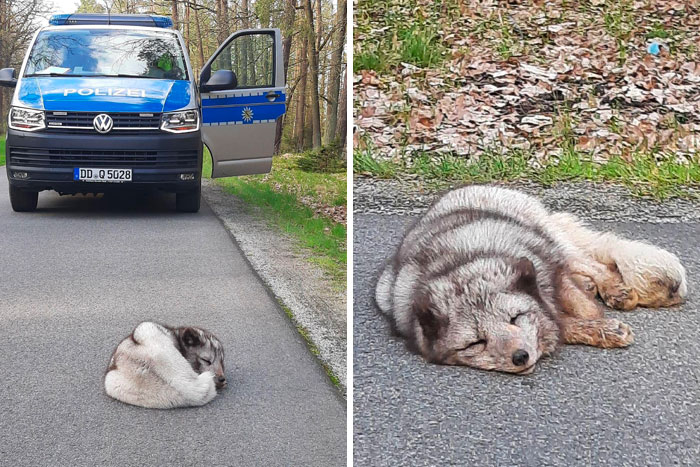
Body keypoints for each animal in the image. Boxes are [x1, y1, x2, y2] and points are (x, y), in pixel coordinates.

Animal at [376, 185, 687, 374]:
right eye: (476, 343)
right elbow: (563, 324)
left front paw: (599, 322)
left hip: (552, 240)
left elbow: (581, 309)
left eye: (514, 318)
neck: (459, 265)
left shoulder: (552, 269)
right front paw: (596, 329)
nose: (520, 357)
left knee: (592, 262)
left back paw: (614, 290)